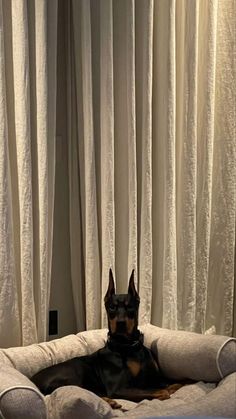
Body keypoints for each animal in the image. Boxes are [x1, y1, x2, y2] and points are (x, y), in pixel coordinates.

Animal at [31, 270, 183, 410]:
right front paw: (166, 390)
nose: (121, 323)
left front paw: (178, 384)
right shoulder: (119, 388)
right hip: (75, 371)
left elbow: (178, 381)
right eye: (112, 307)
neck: (130, 346)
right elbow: (160, 391)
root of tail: (33, 382)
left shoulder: (155, 377)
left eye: (130, 307)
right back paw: (109, 401)